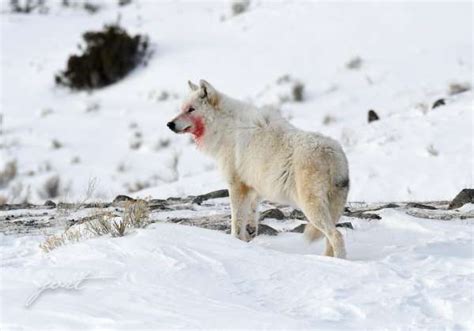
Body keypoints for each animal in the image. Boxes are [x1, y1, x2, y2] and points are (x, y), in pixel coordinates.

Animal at [167, 80, 348, 260]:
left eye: (191, 109)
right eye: (182, 108)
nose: (169, 124)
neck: (226, 129)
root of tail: (334, 153)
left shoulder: (236, 186)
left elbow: (236, 221)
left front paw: (234, 242)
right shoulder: (254, 188)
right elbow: (251, 216)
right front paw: (249, 236)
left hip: (311, 208)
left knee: (337, 235)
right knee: (330, 238)